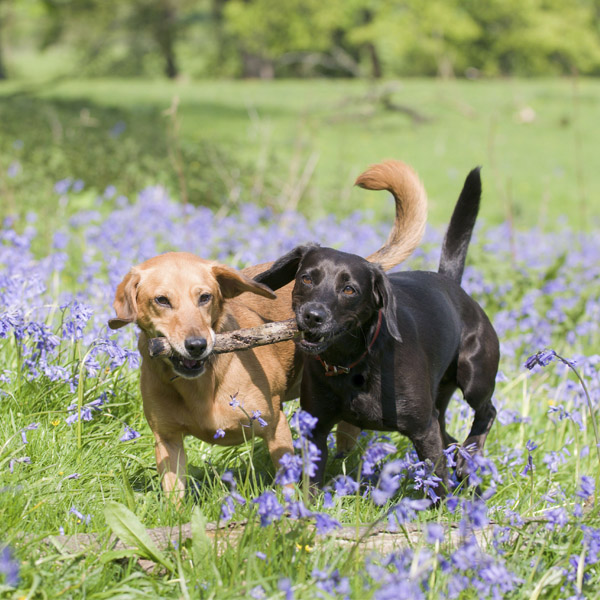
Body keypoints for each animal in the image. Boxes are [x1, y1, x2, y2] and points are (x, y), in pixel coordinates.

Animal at [106, 161, 426, 502]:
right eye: (162, 300)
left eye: (205, 297)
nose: (196, 345)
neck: (204, 385)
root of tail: (361, 264)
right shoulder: (168, 441)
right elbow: (174, 497)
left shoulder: (275, 426)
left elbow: (288, 482)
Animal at [255, 166, 500, 494]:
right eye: (306, 278)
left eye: (349, 289)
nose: (312, 316)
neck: (353, 363)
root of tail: (452, 284)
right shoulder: (316, 427)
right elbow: (313, 479)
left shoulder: (423, 429)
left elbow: (436, 478)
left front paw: (443, 504)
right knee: (452, 439)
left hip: (474, 375)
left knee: (486, 412)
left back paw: (469, 456)